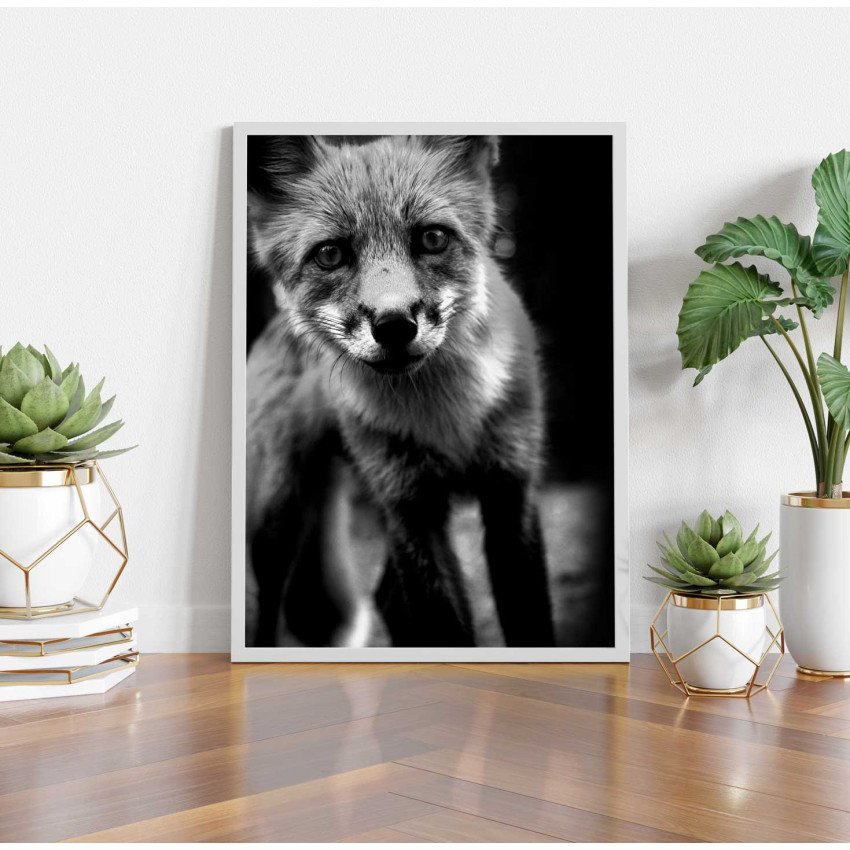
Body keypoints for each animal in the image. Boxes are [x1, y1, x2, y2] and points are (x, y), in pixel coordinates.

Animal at [246, 134, 555, 648]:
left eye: (432, 238)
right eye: (330, 254)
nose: (394, 326)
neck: (444, 420)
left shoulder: (511, 491)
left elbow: (532, 625)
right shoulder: (411, 506)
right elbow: (444, 628)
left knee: (386, 598)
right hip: (278, 517)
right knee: (264, 607)